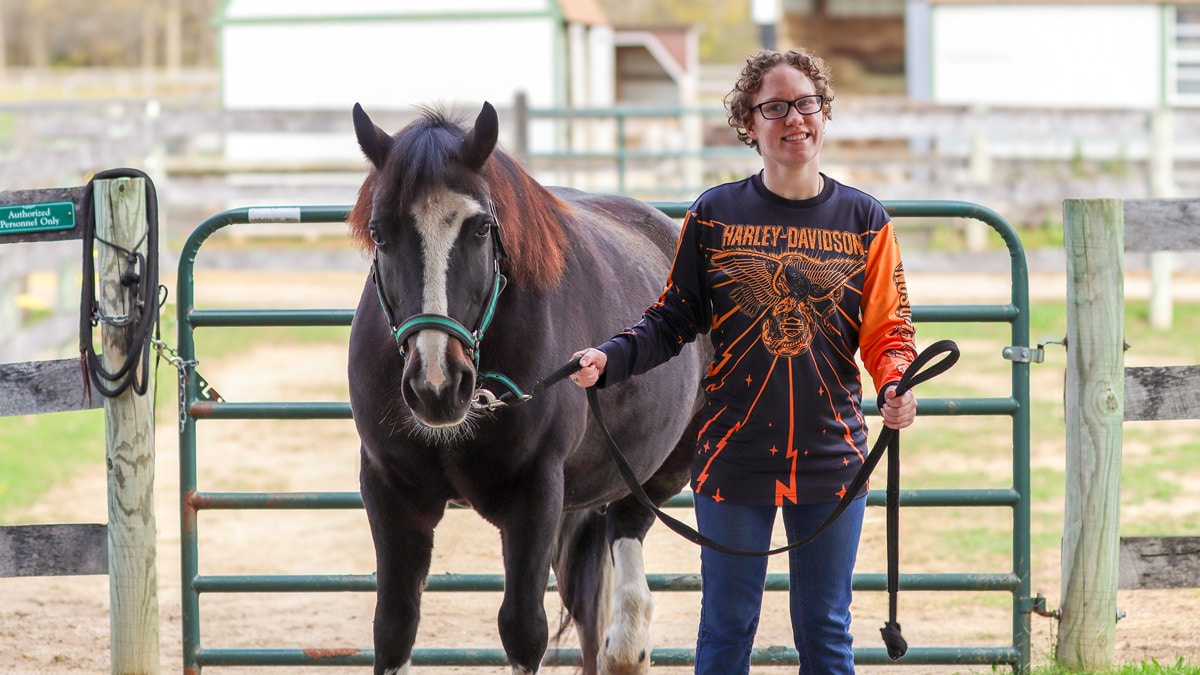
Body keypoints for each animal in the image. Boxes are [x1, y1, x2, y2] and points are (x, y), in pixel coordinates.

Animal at [346, 101, 707, 675]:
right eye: (380, 233)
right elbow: (395, 625)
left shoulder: (535, 492)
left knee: (625, 578)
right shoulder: (388, 488)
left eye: (480, 228)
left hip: (661, 469)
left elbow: (522, 628)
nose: (436, 384)